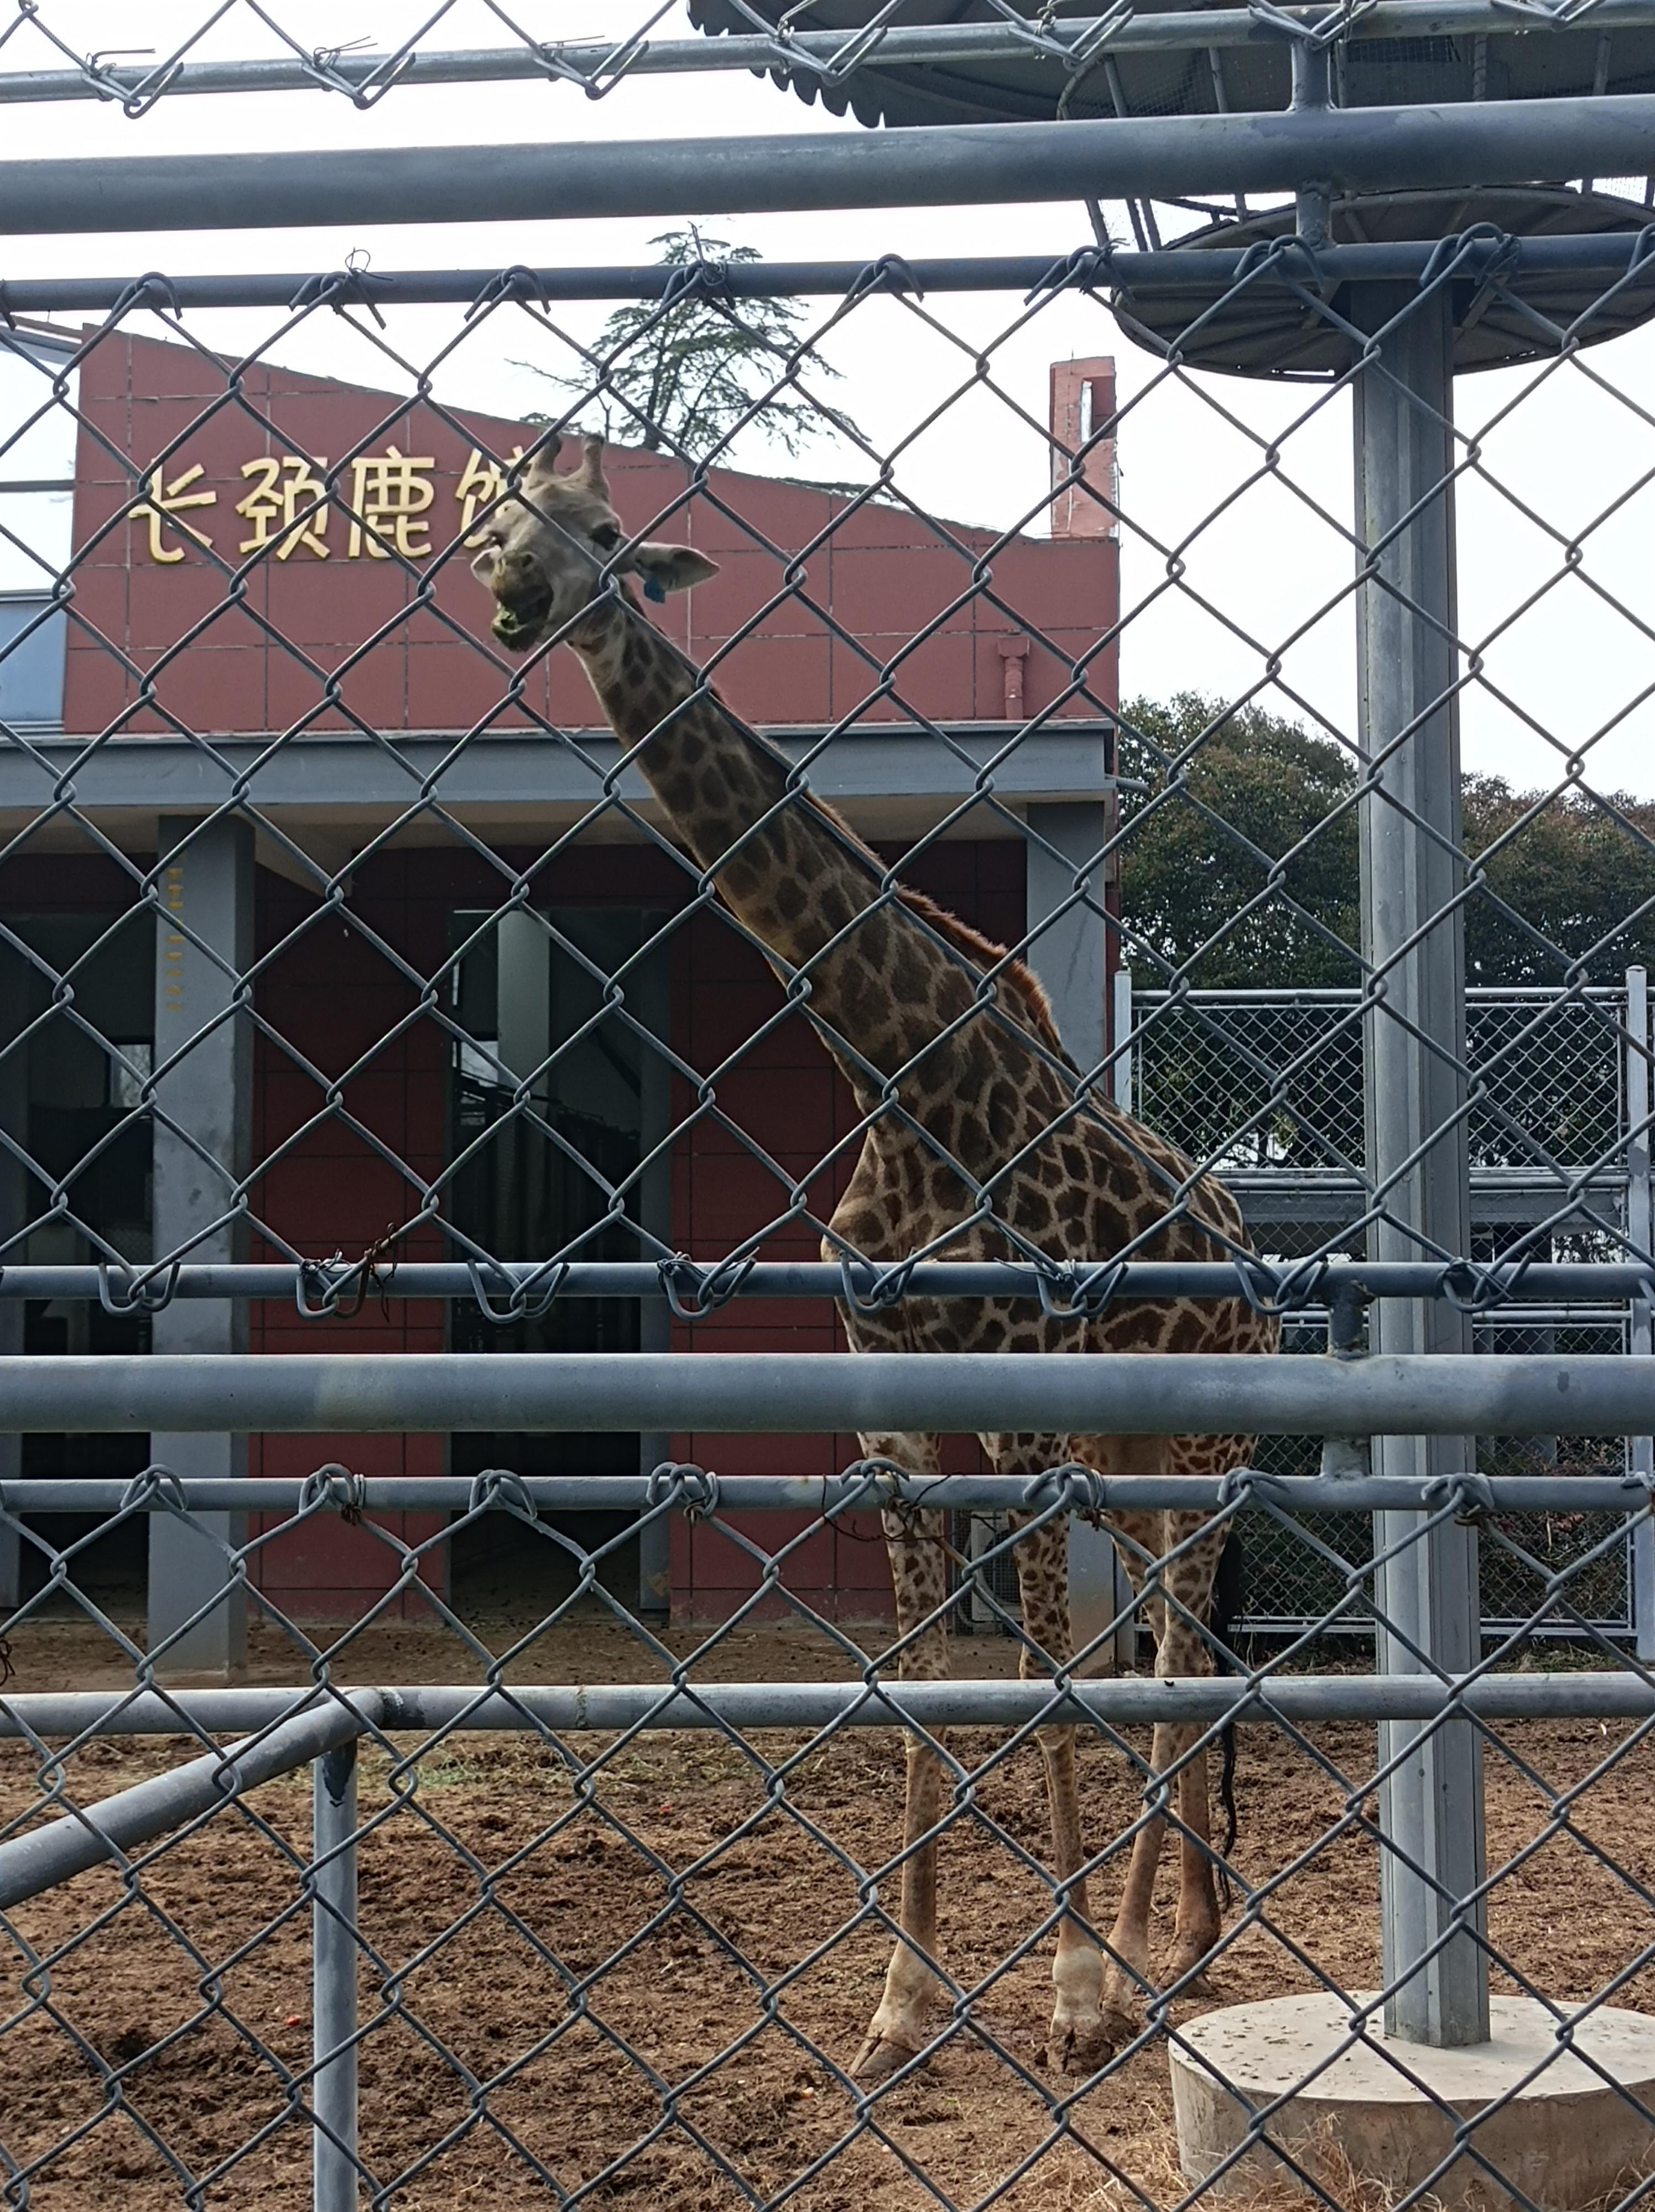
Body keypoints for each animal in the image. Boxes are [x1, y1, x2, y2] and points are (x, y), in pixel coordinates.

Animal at [471, 440, 1274, 2079]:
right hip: (1147, 1466)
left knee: (1179, 1662)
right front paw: (903, 2004)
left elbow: (1040, 1688)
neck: (903, 1084)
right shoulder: (896, 1418)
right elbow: (916, 1694)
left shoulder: (1030, 1419)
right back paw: (1177, 1929)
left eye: (605, 530)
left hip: (1205, 1461)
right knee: (1167, 1660)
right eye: (500, 521)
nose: (519, 595)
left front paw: (1071, 1992)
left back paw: (1160, 1950)